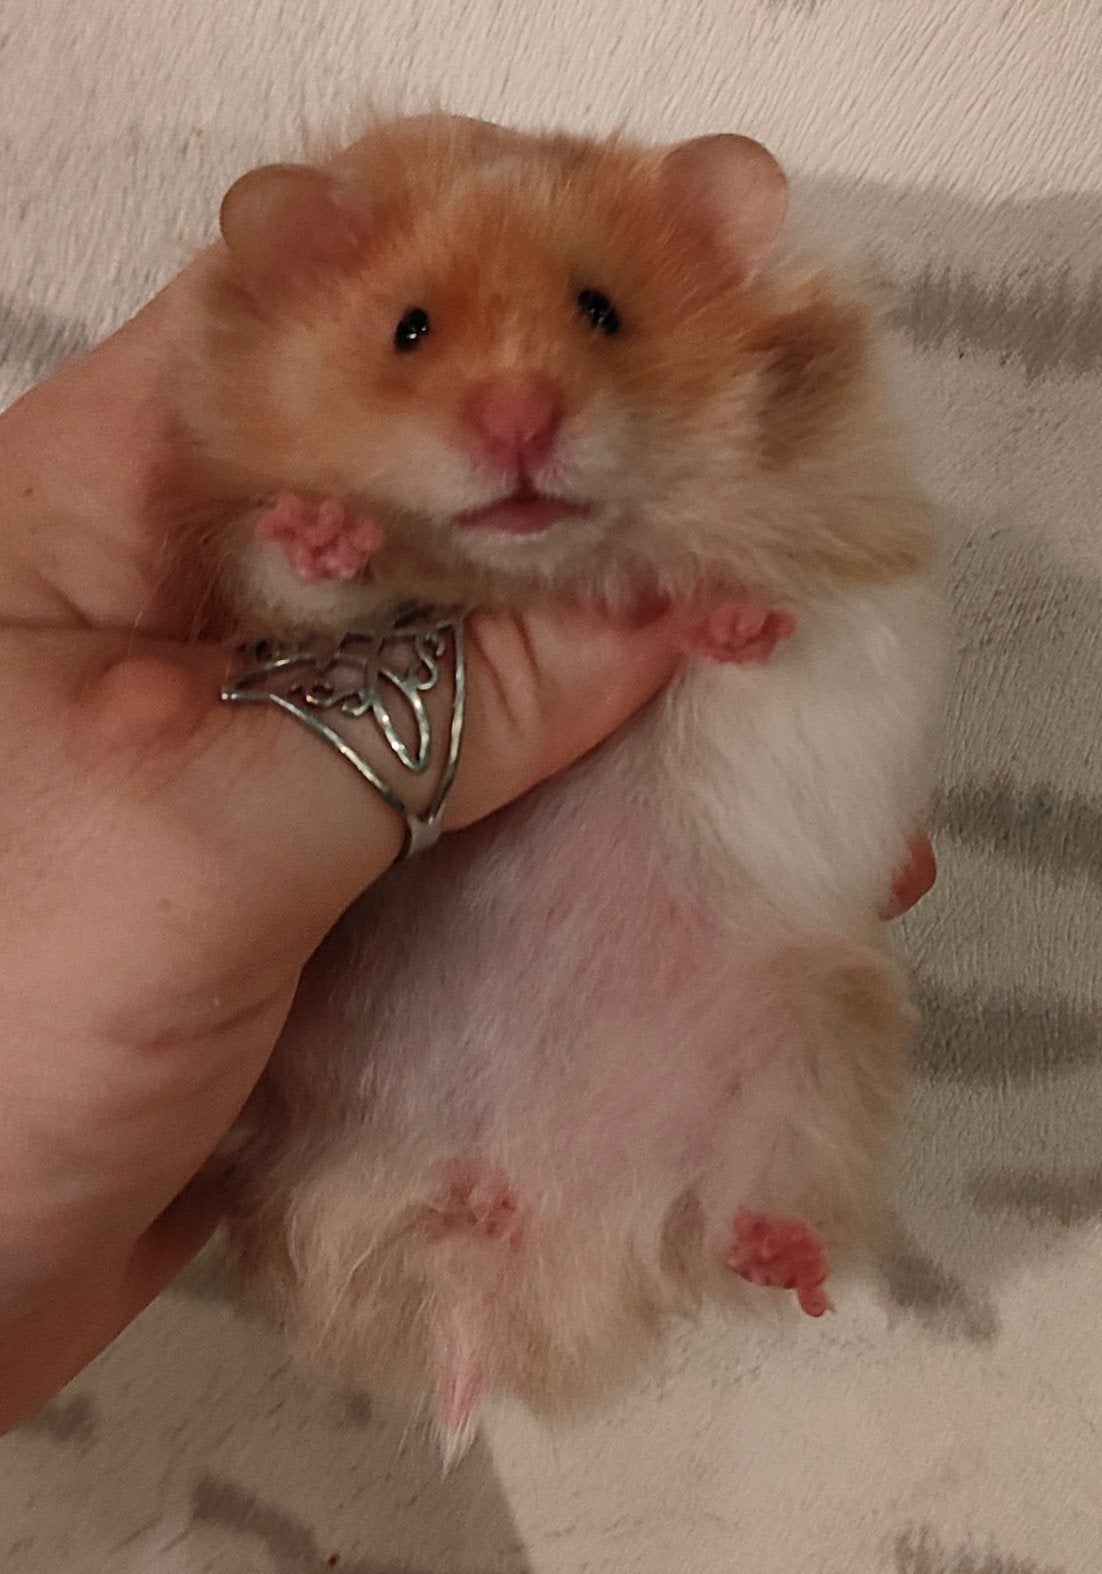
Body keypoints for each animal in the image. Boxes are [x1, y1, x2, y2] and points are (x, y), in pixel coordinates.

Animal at [170, 113, 946, 1456]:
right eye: (409, 329)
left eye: (602, 311)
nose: (517, 422)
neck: (541, 569)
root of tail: (496, 1234)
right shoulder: (232, 571)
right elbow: (291, 579)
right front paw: (327, 532)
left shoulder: (851, 564)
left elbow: (779, 628)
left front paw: (726, 613)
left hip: (813, 1036)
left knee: (729, 1214)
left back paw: (783, 1253)